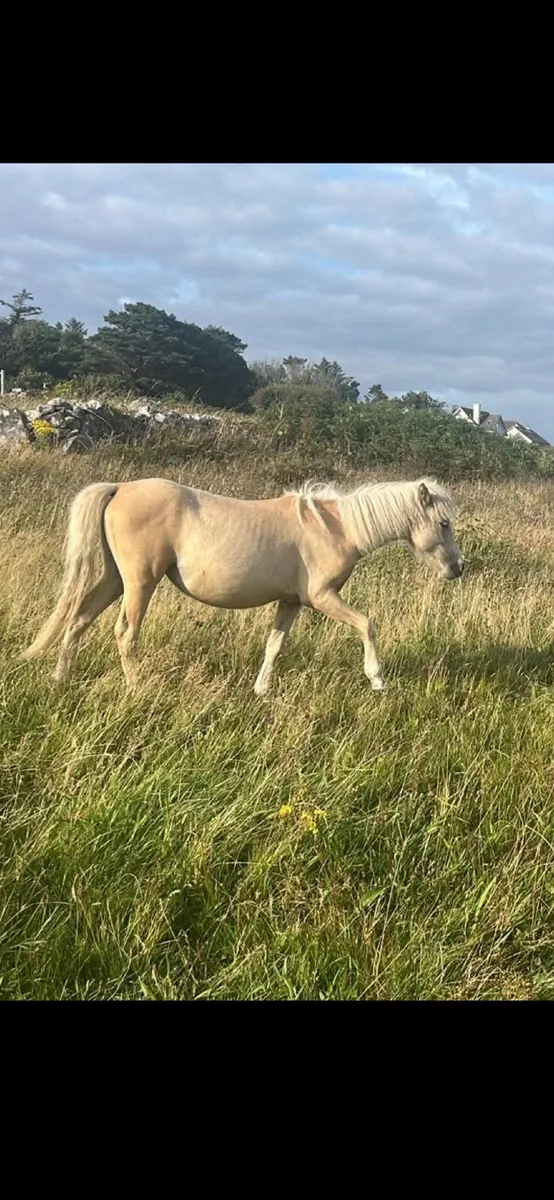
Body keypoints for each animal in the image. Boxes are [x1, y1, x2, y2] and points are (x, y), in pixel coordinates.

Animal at [21, 475, 465, 695]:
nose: (459, 567)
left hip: (115, 579)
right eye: (444, 523)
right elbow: (367, 624)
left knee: (79, 619)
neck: (337, 528)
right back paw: (137, 688)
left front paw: (261, 690)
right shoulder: (322, 598)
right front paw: (376, 679)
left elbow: (275, 645)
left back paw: (60, 679)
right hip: (139, 583)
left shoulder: (291, 602)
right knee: (125, 634)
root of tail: (119, 488)